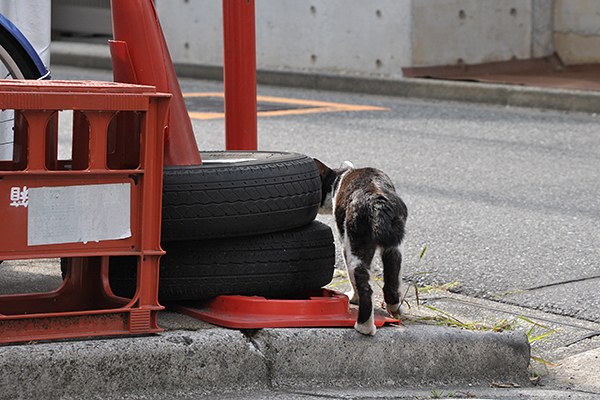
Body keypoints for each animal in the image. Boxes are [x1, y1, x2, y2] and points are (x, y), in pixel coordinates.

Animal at [314, 159, 408, 334]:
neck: (339, 177)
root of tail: (376, 201)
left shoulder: (344, 242)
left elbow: (352, 280)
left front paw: (353, 298)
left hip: (355, 244)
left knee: (364, 284)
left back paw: (364, 327)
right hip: (394, 247)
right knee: (392, 281)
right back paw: (396, 310)